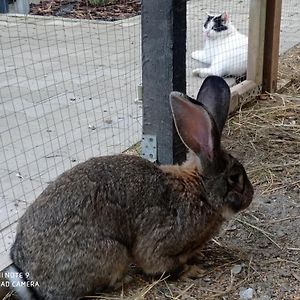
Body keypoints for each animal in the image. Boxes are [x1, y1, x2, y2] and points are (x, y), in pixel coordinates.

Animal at [6, 75, 253, 300]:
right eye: (234, 178)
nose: (250, 196)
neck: (199, 191)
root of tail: (28, 275)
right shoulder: (161, 243)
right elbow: (158, 264)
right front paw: (191, 270)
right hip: (113, 252)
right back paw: (125, 279)